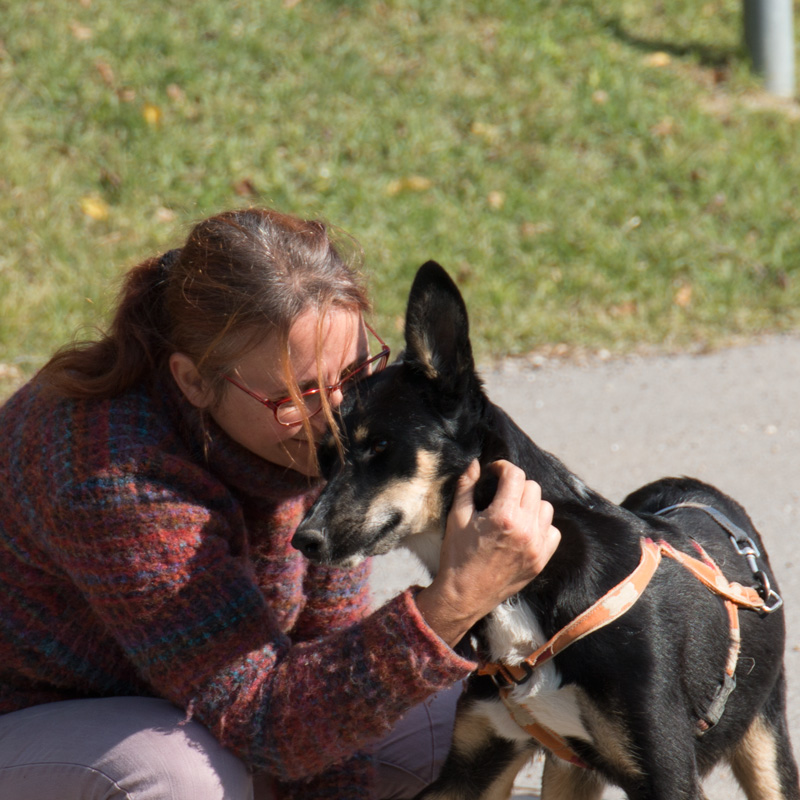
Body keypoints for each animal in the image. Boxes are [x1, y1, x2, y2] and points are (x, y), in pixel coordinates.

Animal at [294, 262, 800, 800]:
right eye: (325, 459)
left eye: (380, 446)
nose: (304, 540)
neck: (533, 588)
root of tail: (696, 490)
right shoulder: (470, 766)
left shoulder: (668, 775)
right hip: (567, 773)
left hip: (765, 745)